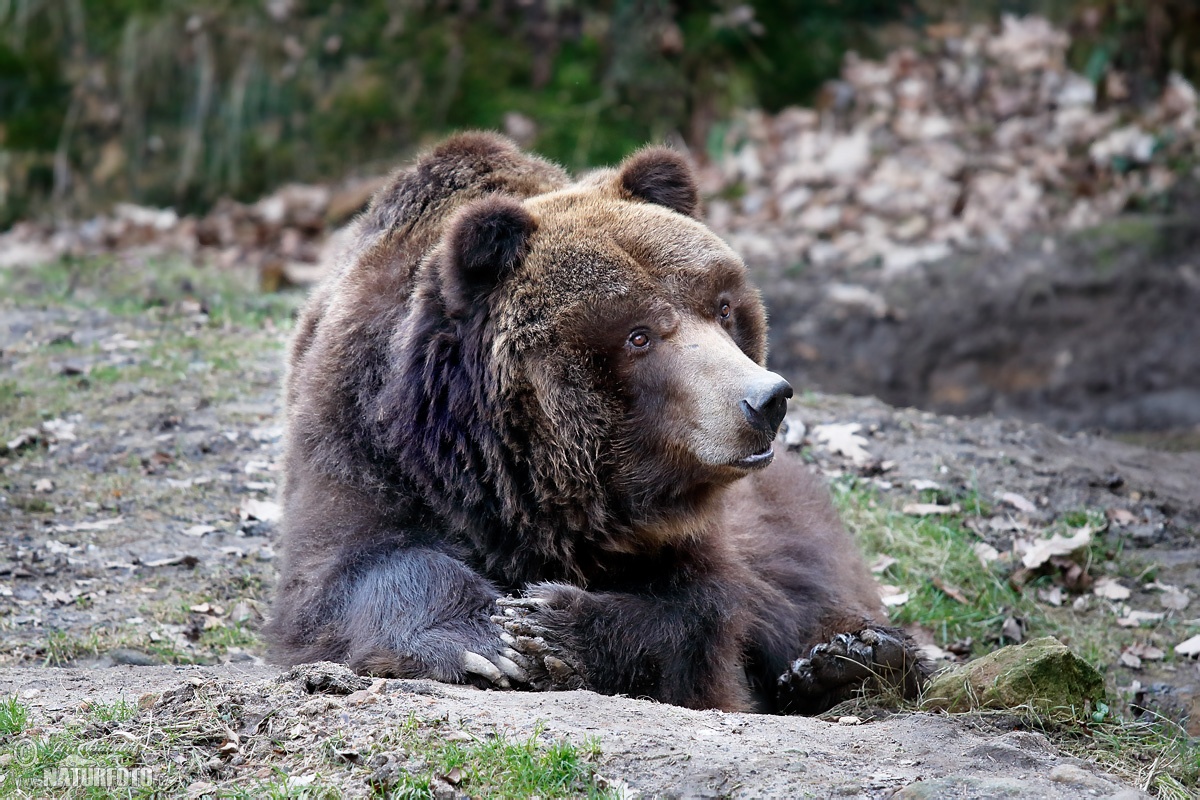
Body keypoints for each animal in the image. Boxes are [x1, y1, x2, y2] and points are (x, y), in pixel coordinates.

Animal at [270, 133, 926, 714]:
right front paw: (487, 638)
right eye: (639, 335)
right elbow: (346, 573)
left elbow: (699, 618)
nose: (765, 400)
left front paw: (550, 627)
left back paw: (852, 657)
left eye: (721, 308)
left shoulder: (679, 529)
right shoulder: (363, 440)